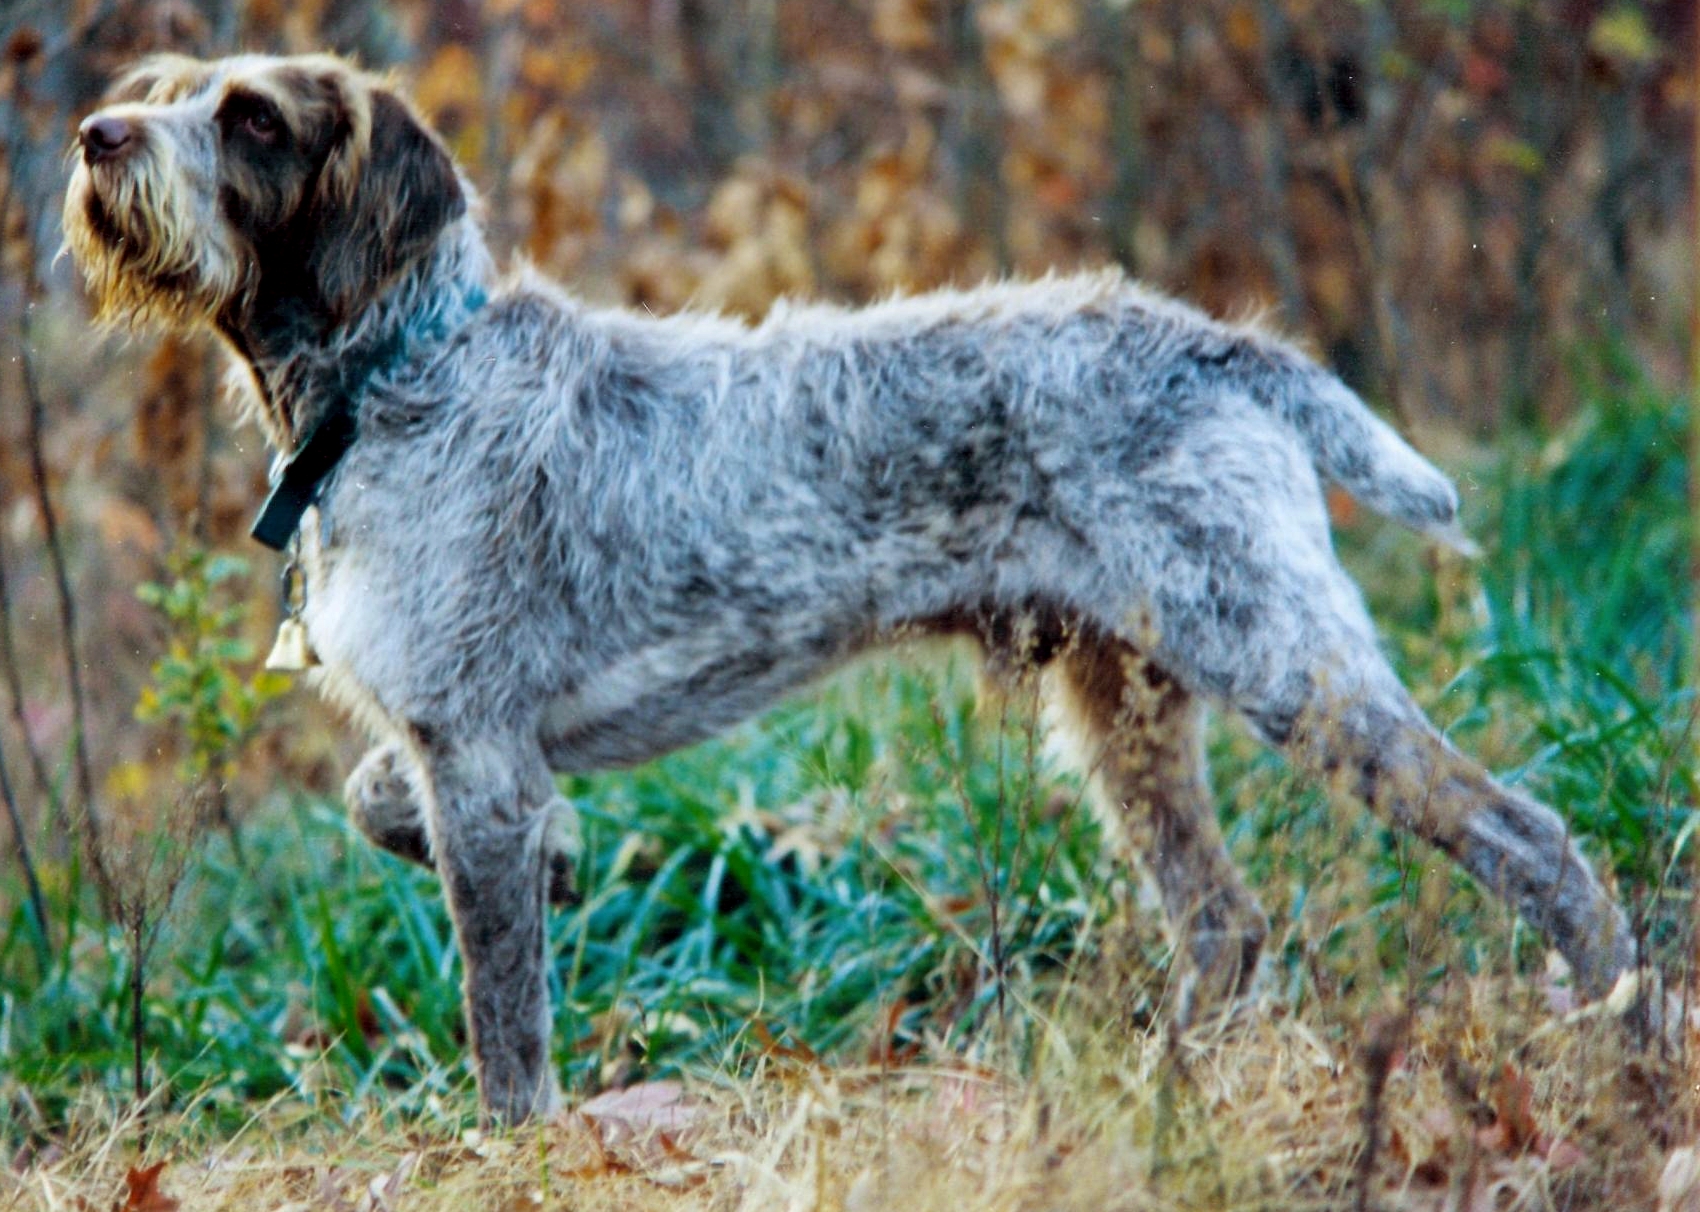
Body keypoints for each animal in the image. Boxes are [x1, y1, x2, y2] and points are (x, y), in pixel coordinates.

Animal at [62, 54, 1632, 1115]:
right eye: (159, 91)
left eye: (252, 118)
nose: (93, 134)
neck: (398, 378)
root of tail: (1211, 341)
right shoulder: (465, 754)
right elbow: (373, 798)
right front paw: (567, 854)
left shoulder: (476, 757)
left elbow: (502, 1020)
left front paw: (513, 1145)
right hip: (1125, 702)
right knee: (1222, 922)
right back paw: (1162, 1096)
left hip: (1282, 665)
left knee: (1531, 837)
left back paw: (1617, 1019)